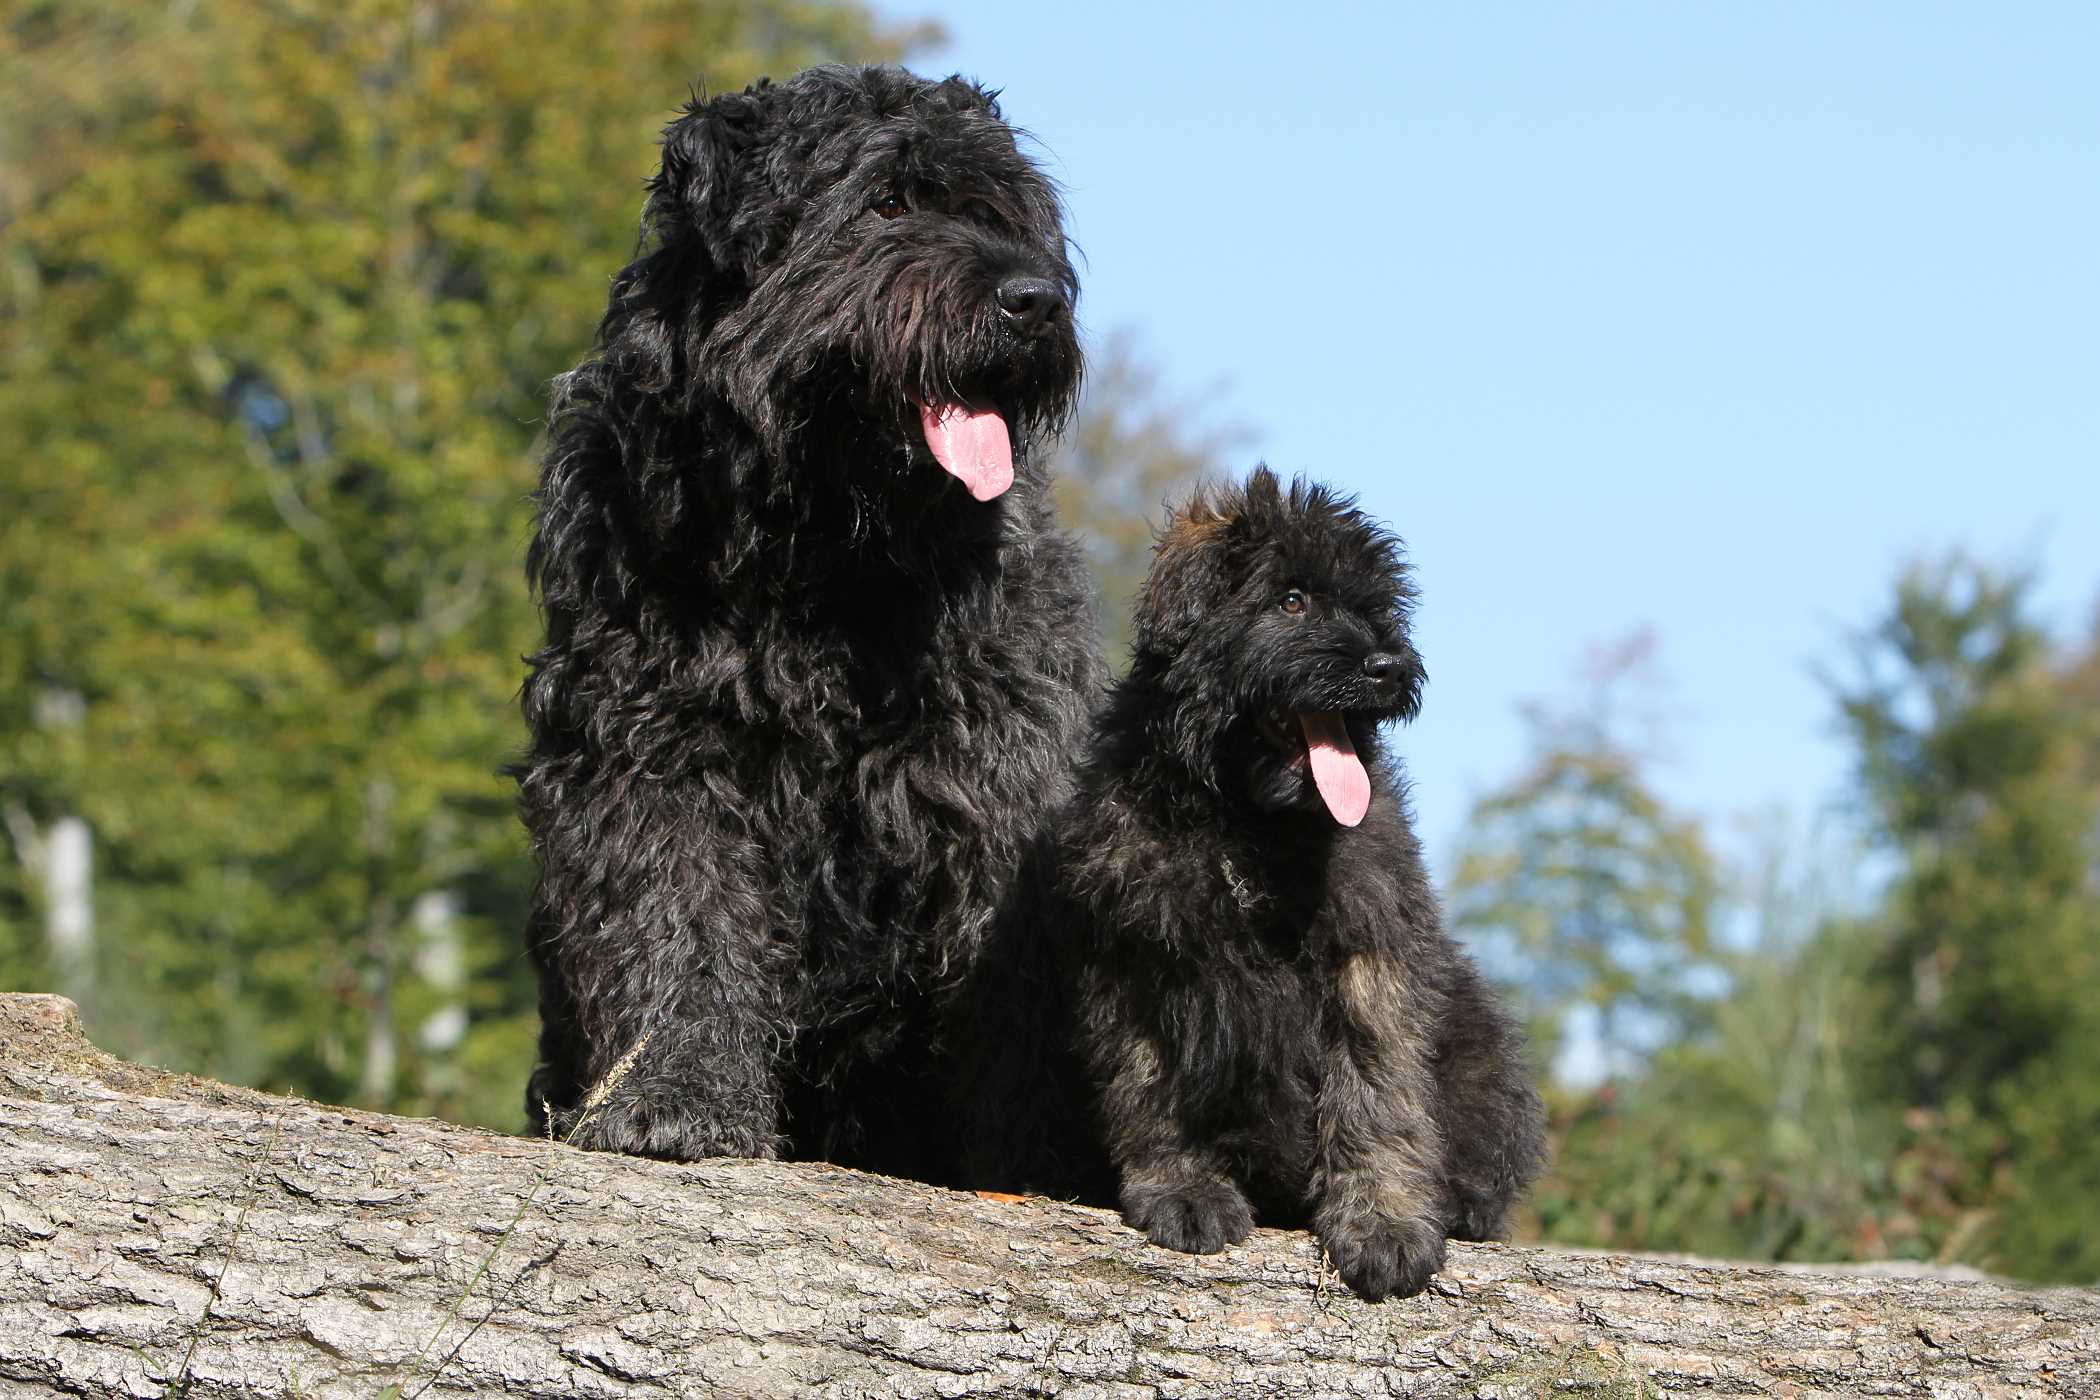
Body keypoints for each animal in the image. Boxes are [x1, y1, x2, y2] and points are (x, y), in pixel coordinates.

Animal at [518, 68, 1100, 1183]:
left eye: (1005, 214)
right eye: (887, 201)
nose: (1033, 299)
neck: (823, 556)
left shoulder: (999, 766)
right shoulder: (652, 746)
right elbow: (678, 917)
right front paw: (679, 1096)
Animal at [965, 474, 1545, 1301]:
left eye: (1377, 605)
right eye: (1292, 599)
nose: (1386, 666)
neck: (1248, 827)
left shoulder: (1368, 950)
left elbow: (1378, 1087)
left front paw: (1385, 1219)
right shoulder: (1136, 957)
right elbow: (1152, 1086)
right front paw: (1183, 1189)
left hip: (1480, 1040)